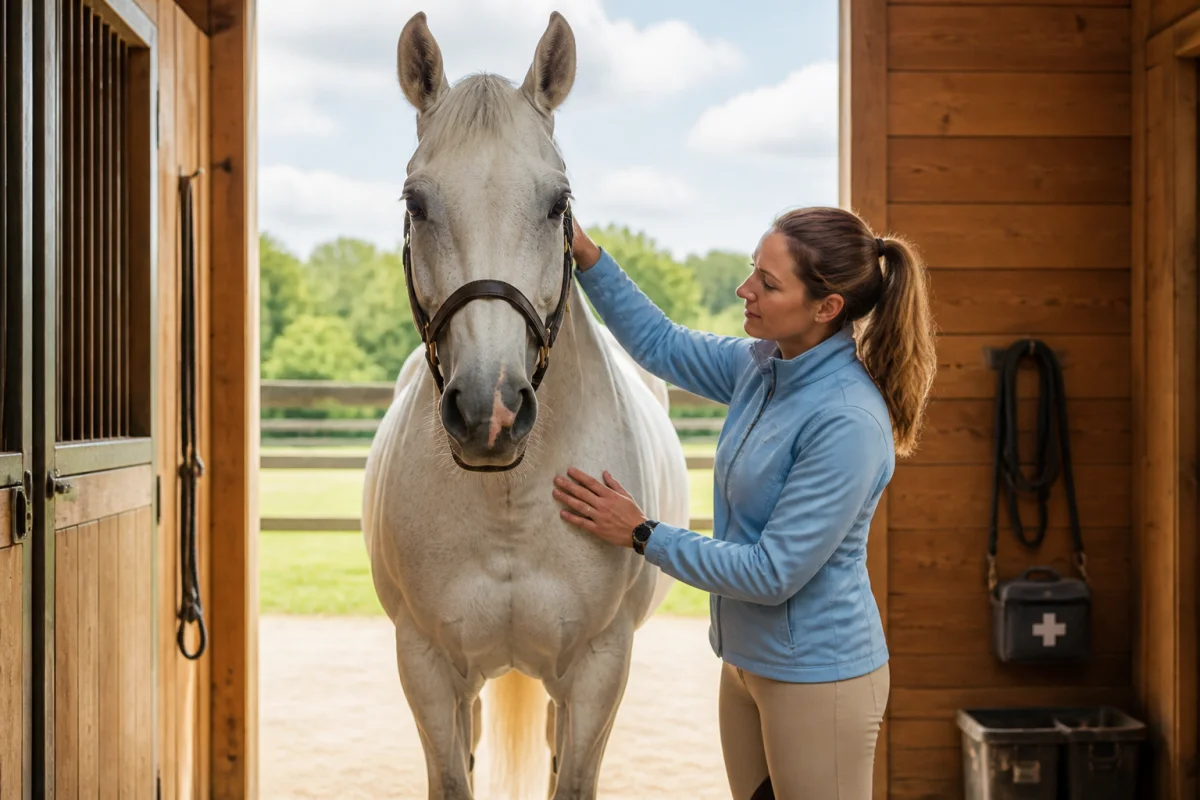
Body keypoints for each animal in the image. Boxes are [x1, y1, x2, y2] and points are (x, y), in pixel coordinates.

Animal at [362, 11, 691, 800]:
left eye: (557, 203)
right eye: (416, 203)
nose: (491, 410)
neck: (509, 504)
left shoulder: (600, 671)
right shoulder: (426, 668)